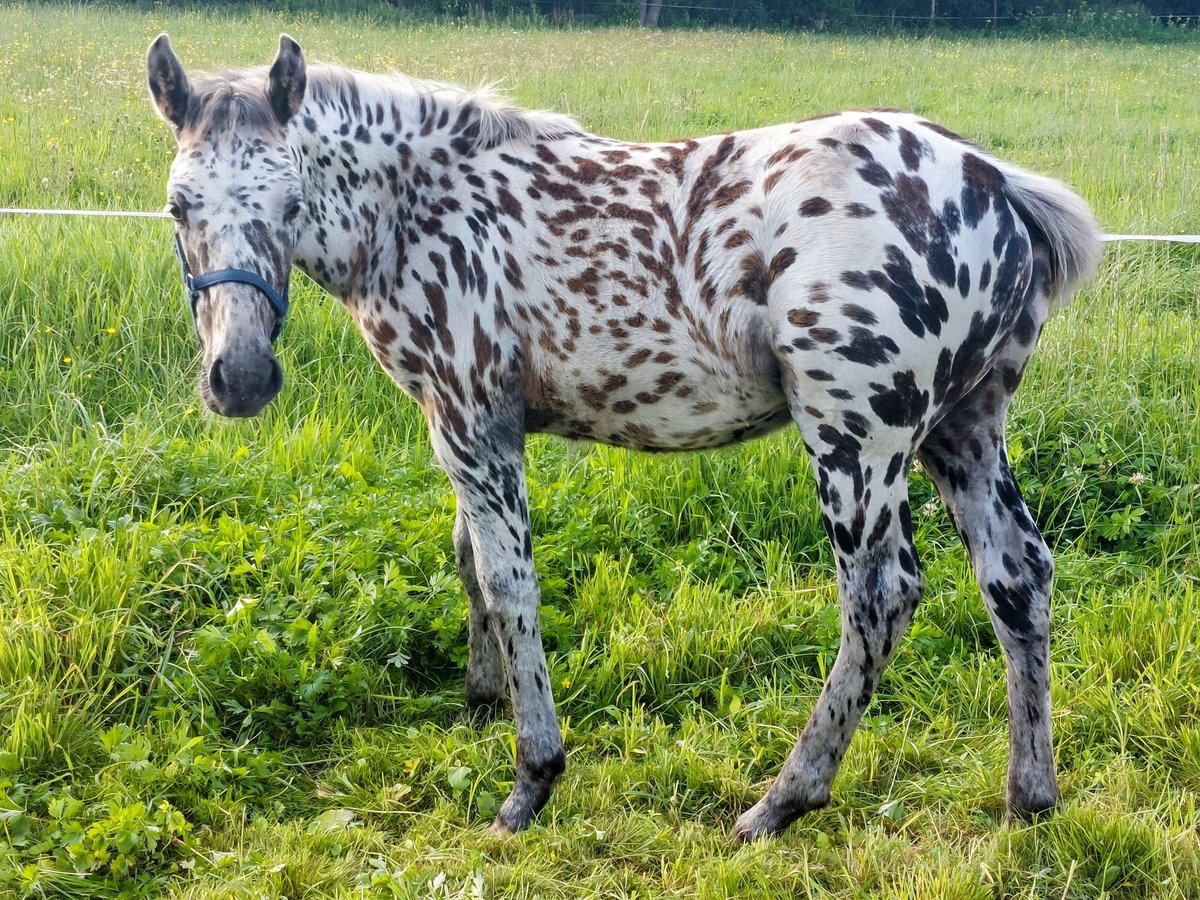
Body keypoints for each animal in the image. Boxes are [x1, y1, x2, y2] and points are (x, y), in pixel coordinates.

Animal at [147, 31, 1099, 844]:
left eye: (291, 196)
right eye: (177, 205)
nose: (239, 377)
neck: (420, 209)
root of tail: (996, 185)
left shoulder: (471, 417)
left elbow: (509, 582)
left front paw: (530, 781)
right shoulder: (456, 421)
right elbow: (467, 559)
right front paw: (480, 699)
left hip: (858, 437)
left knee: (882, 594)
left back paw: (780, 802)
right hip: (964, 428)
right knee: (1018, 575)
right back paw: (1031, 796)